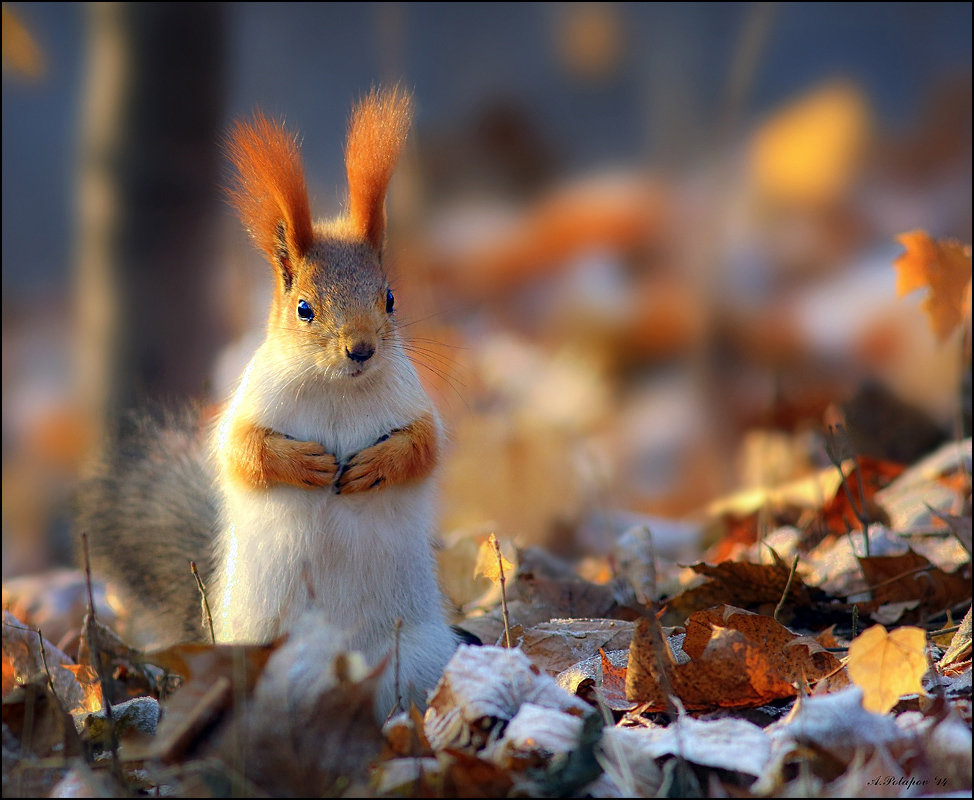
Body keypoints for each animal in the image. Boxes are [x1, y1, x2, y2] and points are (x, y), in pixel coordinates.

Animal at [77, 87, 462, 720]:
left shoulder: (415, 404)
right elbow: (241, 452)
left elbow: (423, 446)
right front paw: (303, 465)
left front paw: (376, 466)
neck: (336, 388)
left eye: (389, 298)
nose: (361, 349)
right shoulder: (248, 404)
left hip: (419, 655)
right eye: (303, 308)